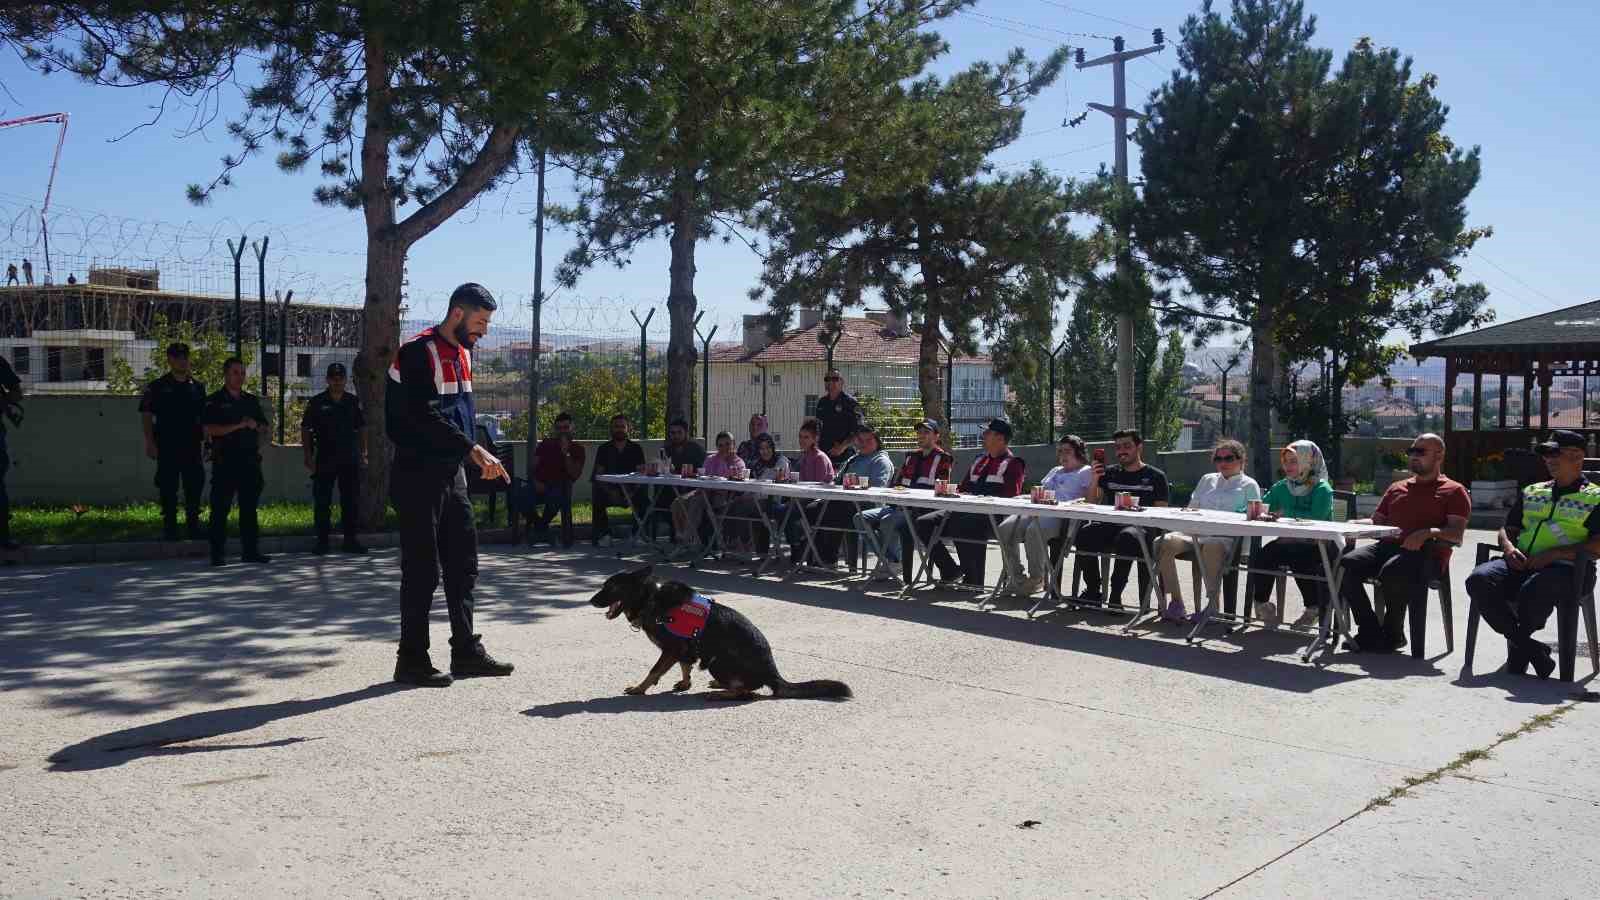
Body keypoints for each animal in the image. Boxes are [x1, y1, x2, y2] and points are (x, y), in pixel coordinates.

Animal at [595, 560, 857, 701]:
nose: (590, 601)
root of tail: (772, 673)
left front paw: (640, 689)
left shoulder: (671, 649)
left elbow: (654, 671)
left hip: (717, 660)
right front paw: (685, 684)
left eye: (610, 587)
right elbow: (685, 666)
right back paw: (721, 686)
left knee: (747, 691)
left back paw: (723, 692)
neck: (651, 597)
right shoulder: (686, 648)